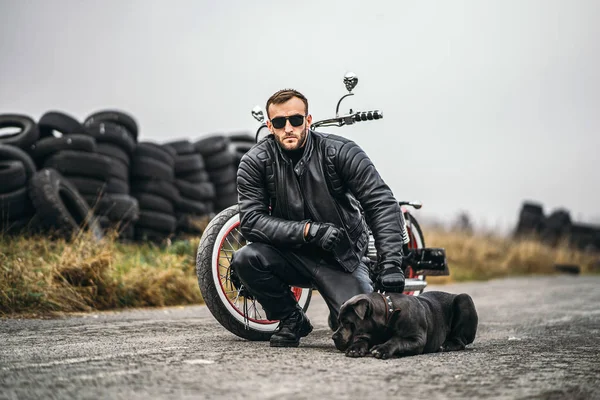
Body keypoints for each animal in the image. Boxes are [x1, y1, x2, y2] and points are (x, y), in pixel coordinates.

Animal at [328, 290, 478, 360]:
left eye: (348, 322)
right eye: (339, 321)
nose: (334, 337)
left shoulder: (416, 339)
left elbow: (397, 340)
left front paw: (382, 348)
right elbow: (362, 340)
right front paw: (355, 348)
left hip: (464, 299)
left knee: (460, 340)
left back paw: (447, 345)